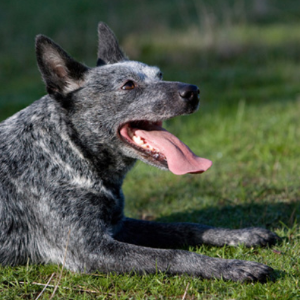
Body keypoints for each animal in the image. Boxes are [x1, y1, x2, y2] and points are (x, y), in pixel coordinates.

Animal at [0, 22, 278, 282]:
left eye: (160, 75)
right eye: (128, 86)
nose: (193, 91)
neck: (71, 150)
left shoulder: (118, 225)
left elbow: (185, 227)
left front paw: (241, 235)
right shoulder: (88, 248)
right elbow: (173, 255)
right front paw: (230, 267)